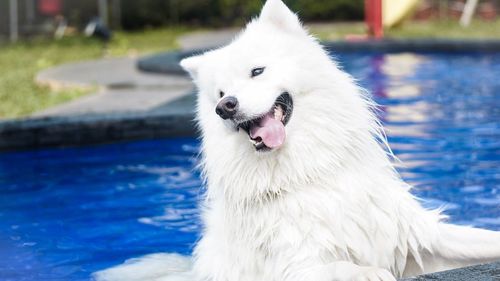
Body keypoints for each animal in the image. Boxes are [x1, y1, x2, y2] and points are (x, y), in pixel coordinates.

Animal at [94, 0, 500, 280]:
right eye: (220, 93)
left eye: (257, 71)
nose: (225, 107)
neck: (307, 171)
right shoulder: (297, 264)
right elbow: (342, 268)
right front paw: (369, 272)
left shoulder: (415, 236)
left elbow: (481, 239)